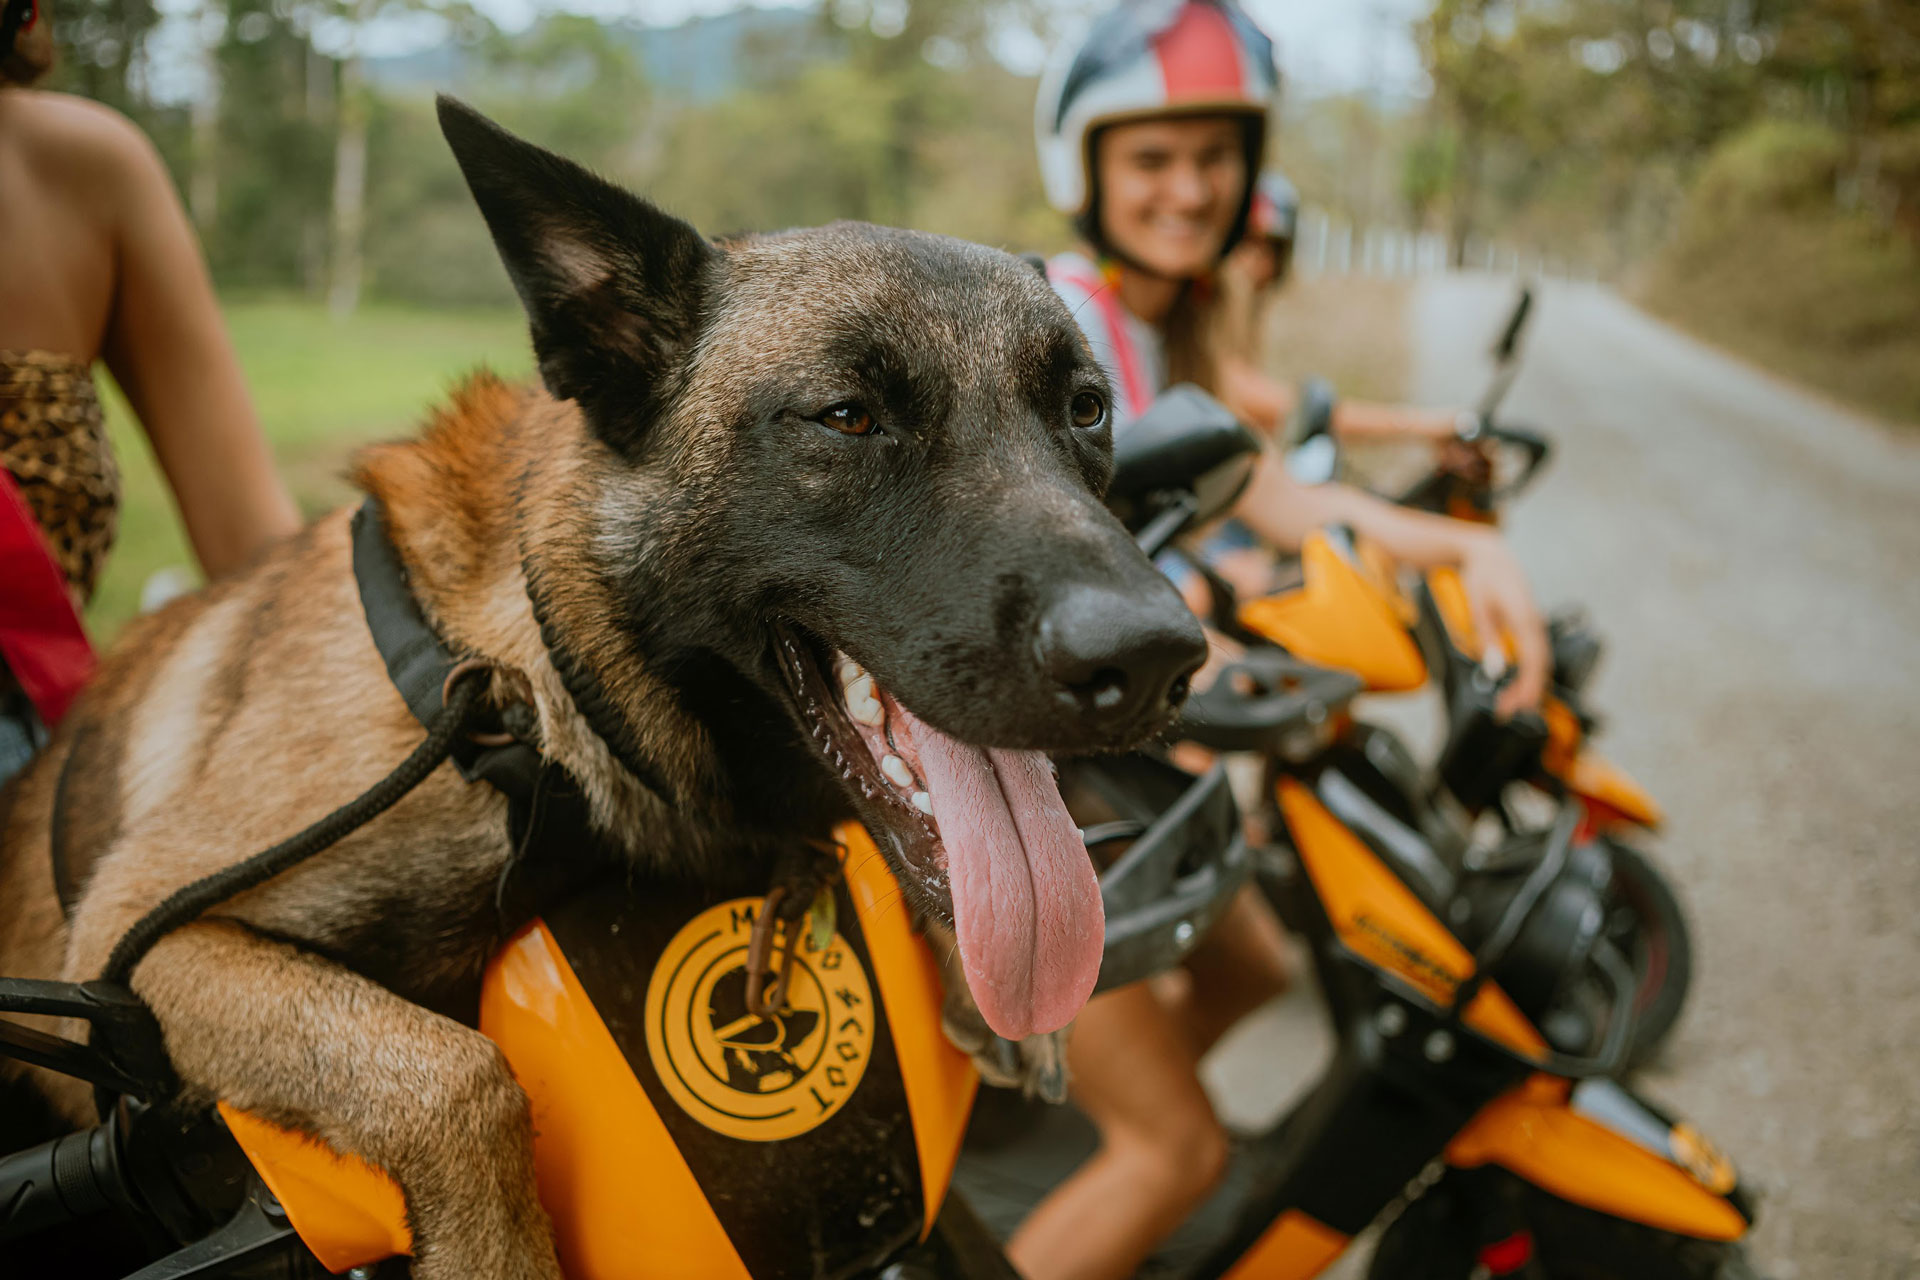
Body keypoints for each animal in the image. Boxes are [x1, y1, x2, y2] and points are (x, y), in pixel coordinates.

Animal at [0, 97, 1198, 1274]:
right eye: (848, 415)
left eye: (1085, 408)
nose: (1155, 657)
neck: (537, 693)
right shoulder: (143, 936)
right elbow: (461, 1081)